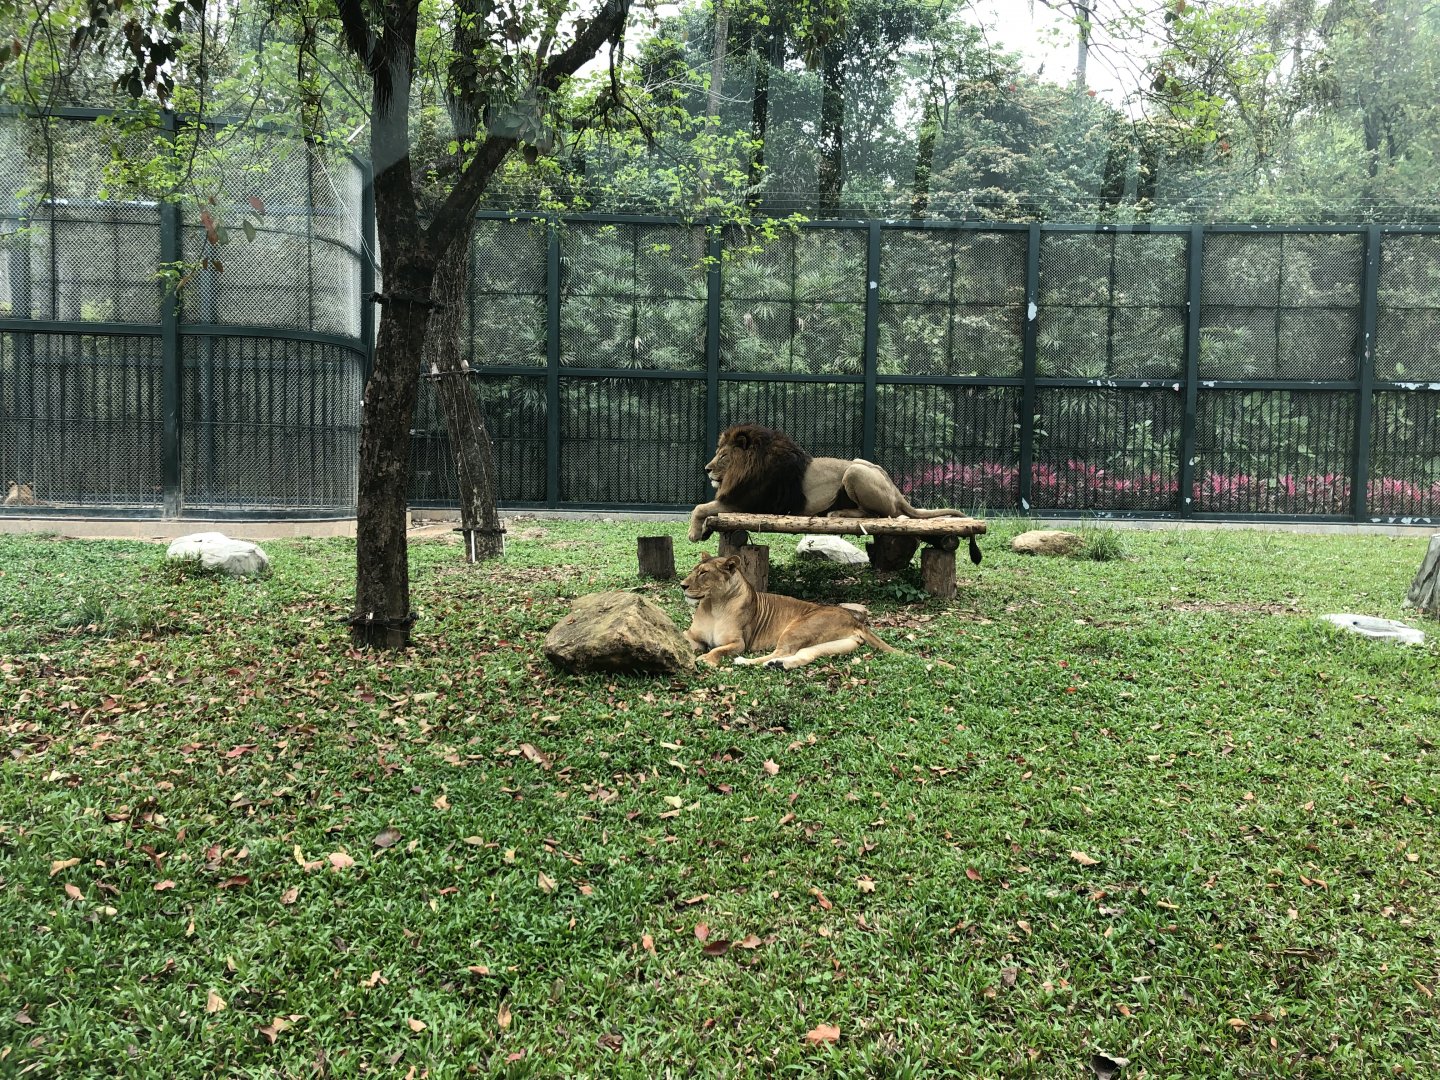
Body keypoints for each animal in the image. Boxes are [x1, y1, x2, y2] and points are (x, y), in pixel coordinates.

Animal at [681, 553, 898, 670]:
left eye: (703, 572)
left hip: (798, 628)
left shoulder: (739, 642)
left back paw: (745, 662)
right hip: (832, 644)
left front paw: (707, 659)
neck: (714, 606)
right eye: (694, 570)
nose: (682, 585)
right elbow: (683, 640)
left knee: (783, 651)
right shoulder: (691, 635)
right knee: (804, 654)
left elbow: (719, 649)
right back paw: (777, 665)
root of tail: (855, 620)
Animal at [687, 423, 966, 543]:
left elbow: (699, 508)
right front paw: (704, 530)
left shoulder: (747, 504)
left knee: (880, 514)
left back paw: (837, 512)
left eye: (724, 456)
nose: (707, 469)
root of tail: (897, 491)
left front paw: (693, 533)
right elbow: (705, 509)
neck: (746, 468)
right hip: (859, 465)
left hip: (854, 471)